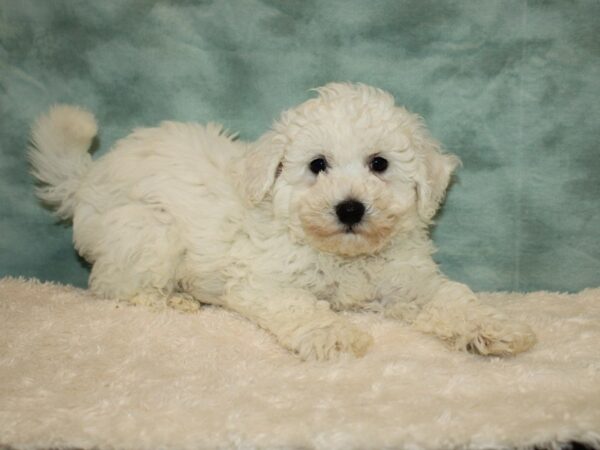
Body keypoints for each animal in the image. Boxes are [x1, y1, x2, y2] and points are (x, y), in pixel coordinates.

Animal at [28, 82, 536, 360]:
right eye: (317, 165)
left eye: (379, 164)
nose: (350, 208)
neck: (345, 256)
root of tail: (88, 177)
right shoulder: (264, 283)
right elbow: (303, 307)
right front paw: (334, 334)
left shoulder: (411, 283)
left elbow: (452, 298)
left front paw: (494, 328)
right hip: (148, 232)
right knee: (113, 287)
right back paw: (173, 302)